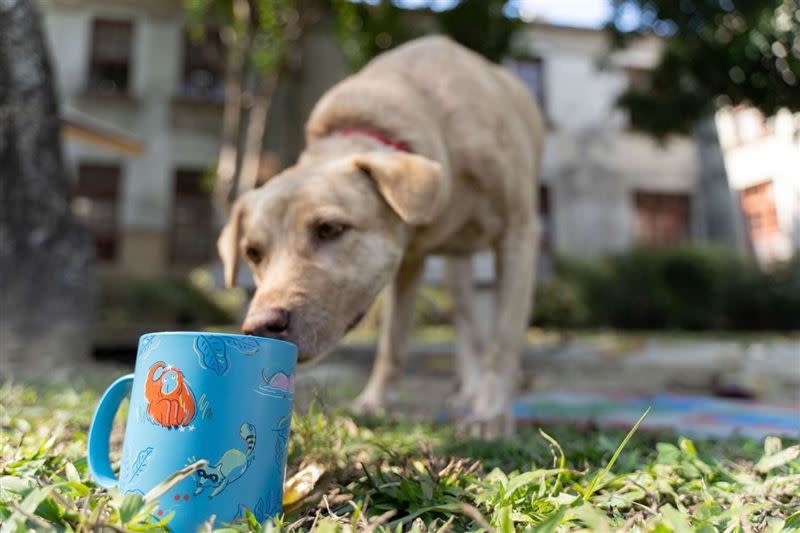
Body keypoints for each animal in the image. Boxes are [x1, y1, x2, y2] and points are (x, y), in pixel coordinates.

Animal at [219, 35, 544, 434]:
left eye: (330, 229)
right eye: (252, 253)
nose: (259, 327)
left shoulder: (519, 234)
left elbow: (503, 341)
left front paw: (491, 415)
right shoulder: (407, 260)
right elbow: (392, 341)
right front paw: (374, 402)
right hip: (454, 269)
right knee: (465, 319)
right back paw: (467, 389)